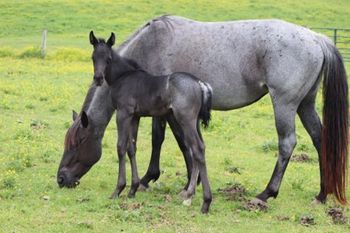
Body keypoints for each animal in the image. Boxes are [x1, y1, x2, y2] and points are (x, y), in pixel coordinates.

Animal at [57, 15, 348, 206]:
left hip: (285, 104)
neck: (147, 47)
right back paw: (322, 195)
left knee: (287, 143)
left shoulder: (166, 112)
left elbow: (170, 141)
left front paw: (165, 181)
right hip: (305, 104)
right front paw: (188, 183)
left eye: (77, 142)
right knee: (320, 139)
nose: (61, 178)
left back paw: (266, 193)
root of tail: (316, 38)